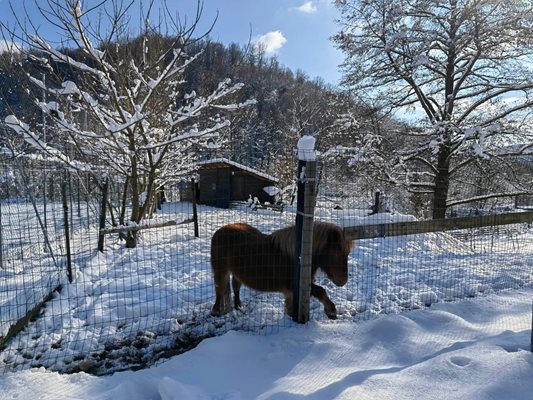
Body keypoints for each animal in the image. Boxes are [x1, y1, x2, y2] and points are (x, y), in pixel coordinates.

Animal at [209, 222, 354, 318]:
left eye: (347, 253)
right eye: (335, 252)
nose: (342, 281)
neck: (298, 257)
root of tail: (221, 230)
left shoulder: (294, 290)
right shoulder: (295, 286)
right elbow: (321, 291)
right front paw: (331, 311)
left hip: (236, 272)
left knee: (236, 287)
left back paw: (238, 306)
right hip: (220, 270)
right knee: (219, 289)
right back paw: (216, 311)